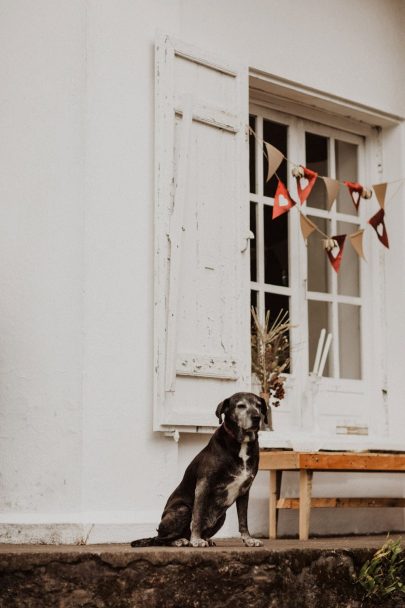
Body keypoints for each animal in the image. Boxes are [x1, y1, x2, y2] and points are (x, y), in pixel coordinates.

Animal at [131, 392, 266, 548]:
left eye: (258, 405)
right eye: (241, 406)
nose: (256, 417)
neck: (241, 443)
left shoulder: (245, 490)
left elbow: (243, 519)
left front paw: (248, 539)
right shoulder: (203, 485)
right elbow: (197, 516)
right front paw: (196, 540)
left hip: (222, 517)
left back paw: (204, 539)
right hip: (182, 509)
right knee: (160, 539)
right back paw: (181, 541)